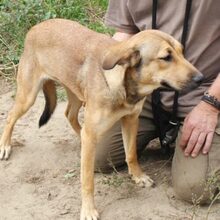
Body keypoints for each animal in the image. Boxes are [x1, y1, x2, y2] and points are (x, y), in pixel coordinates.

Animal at [0, 19, 203, 220]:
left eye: (182, 51)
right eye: (166, 57)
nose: (200, 78)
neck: (123, 84)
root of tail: (36, 27)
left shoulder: (131, 120)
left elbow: (131, 154)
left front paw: (138, 176)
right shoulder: (95, 131)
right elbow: (87, 180)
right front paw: (88, 210)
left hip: (76, 92)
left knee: (70, 114)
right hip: (28, 96)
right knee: (10, 117)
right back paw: (5, 146)